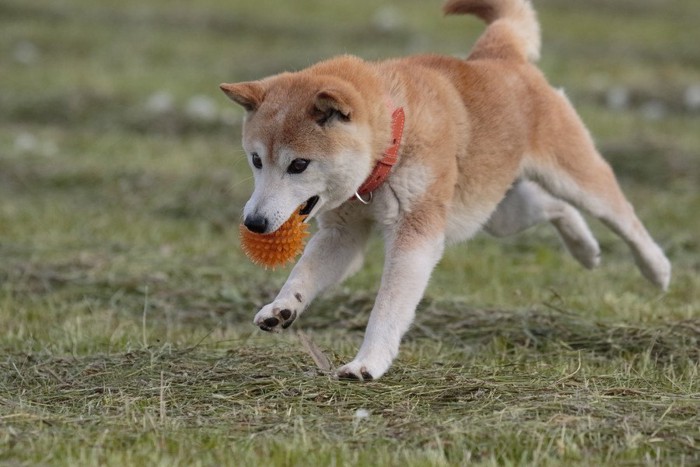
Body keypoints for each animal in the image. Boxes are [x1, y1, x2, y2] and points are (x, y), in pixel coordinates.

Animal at [221, 0, 668, 380]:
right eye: (256, 160)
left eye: (298, 164)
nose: (254, 223)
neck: (393, 139)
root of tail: (498, 55)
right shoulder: (343, 233)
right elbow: (304, 274)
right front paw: (282, 308)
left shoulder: (415, 236)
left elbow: (388, 307)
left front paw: (368, 363)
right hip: (495, 212)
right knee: (554, 207)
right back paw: (585, 250)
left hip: (573, 175)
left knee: (620, 214)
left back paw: (656, 268)